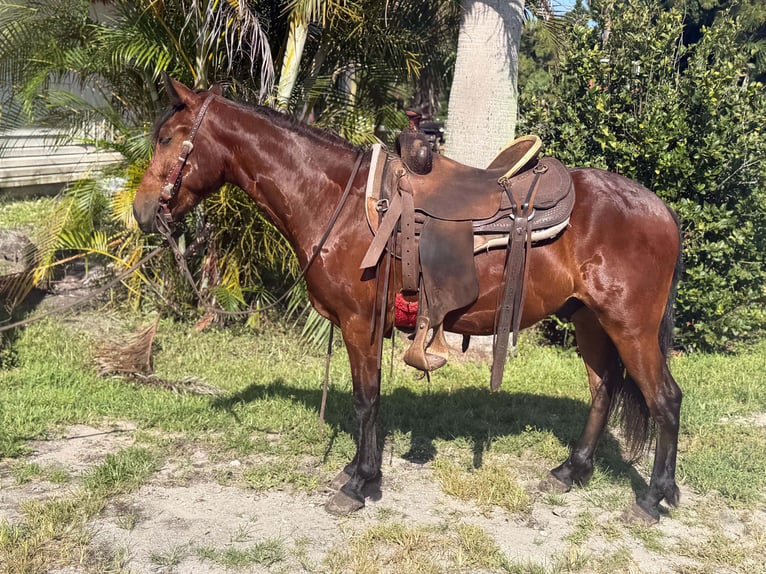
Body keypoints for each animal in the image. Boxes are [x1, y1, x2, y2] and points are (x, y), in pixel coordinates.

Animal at [133, 79, 683, 524]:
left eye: (167, 139)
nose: (140, 211)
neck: (338, 200)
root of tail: (662, 209)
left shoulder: (359, 322)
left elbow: (365, 399)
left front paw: (360, 484)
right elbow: (369, 398)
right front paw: (359, 471)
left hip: (630, 326)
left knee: (665, 399)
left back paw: (653, 498)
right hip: (589, 321)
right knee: (604, 389)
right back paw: (571, 471)